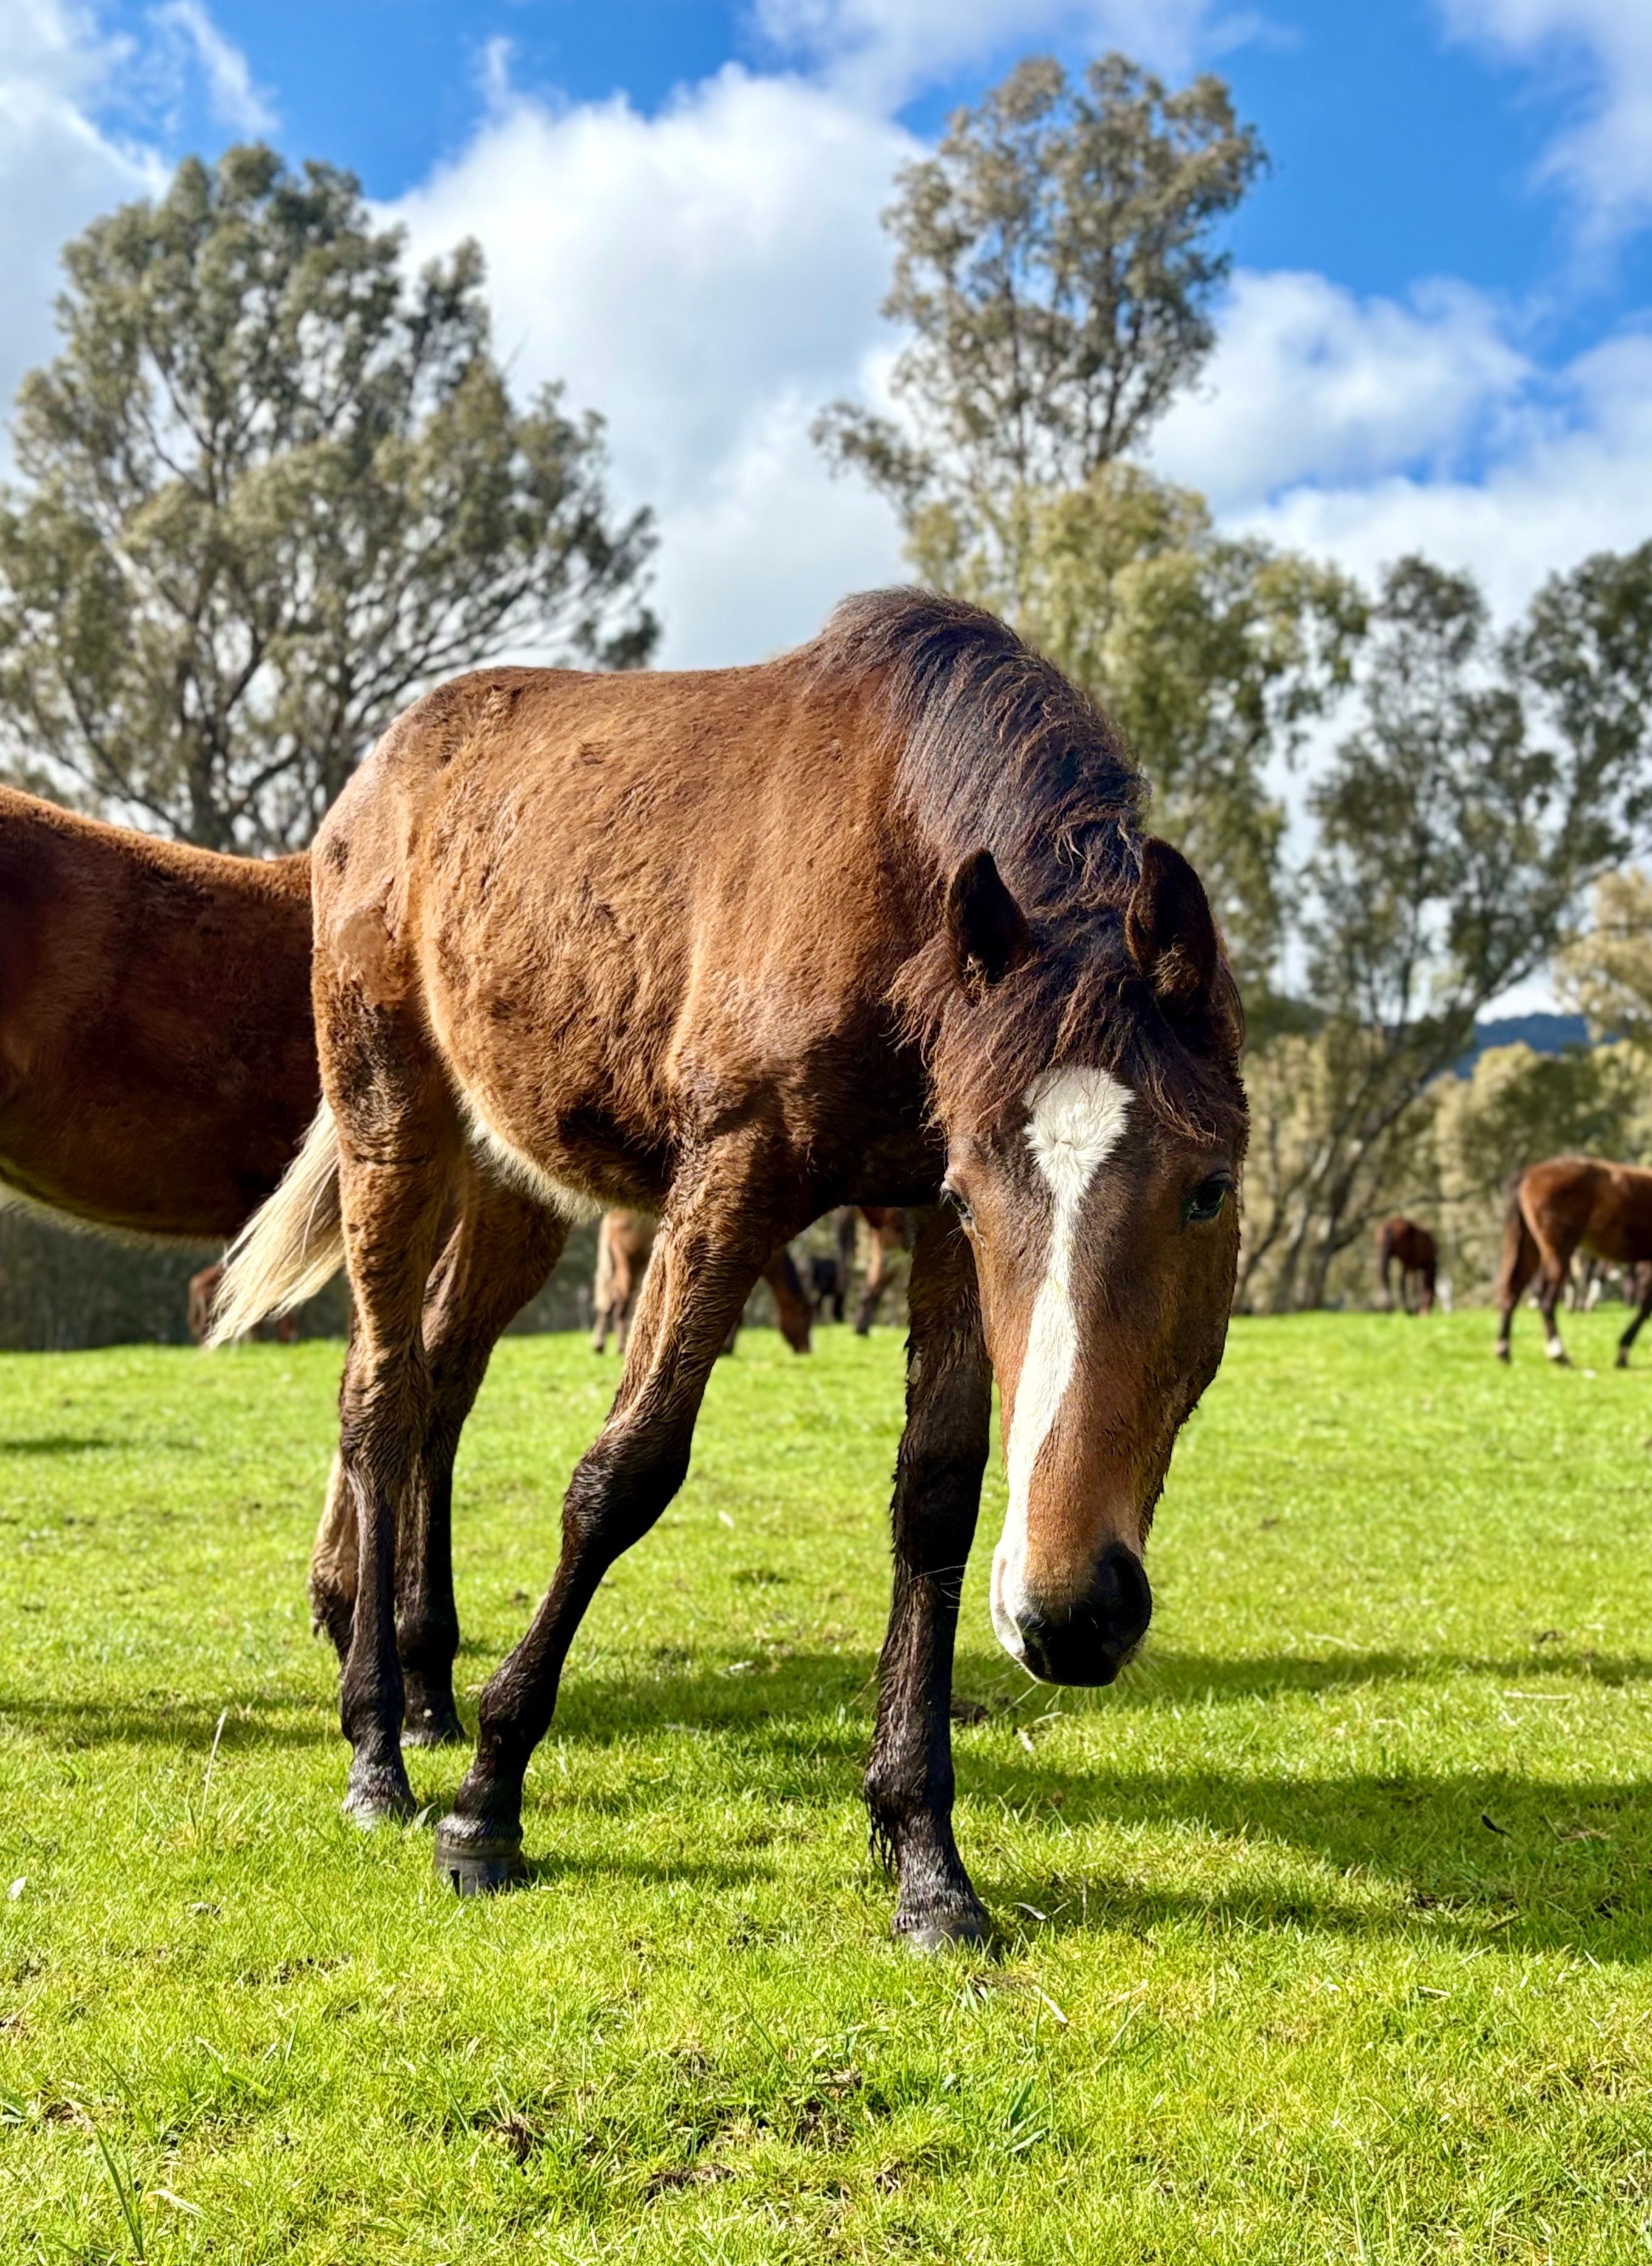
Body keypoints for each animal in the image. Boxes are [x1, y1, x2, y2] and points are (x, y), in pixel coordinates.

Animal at [591, 1206, 812, 1355]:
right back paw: (620, 1346)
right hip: (629, 1264)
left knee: (608, 1302)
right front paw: (727, 1348)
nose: (807, 1349)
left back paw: (600, 1345)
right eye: (805, 1318)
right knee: (620, 1302)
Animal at [1375, 1217, 1437, 1315]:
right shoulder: (1420, 1266)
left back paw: (1390, 1308)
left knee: (1386, 1276)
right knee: (1402, 1283)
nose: (1425, 1313)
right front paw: (1416, 1308)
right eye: (1432, 1301)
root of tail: (1389, 1227)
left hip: (1385, 1253)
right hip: (1405, 1261)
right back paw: (1407, 1309)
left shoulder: (1414, 1267)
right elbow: (1415, 1287)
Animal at [1497, 1157, 1652, 1367]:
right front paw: (1623, 1351)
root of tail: (1529, 1174)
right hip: (1560, 1251)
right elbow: (1645, 1307)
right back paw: (1558, 1353)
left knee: (1513, 1292)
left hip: (1530, 1247)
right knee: (1547, 1301)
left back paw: (1504, 1351)